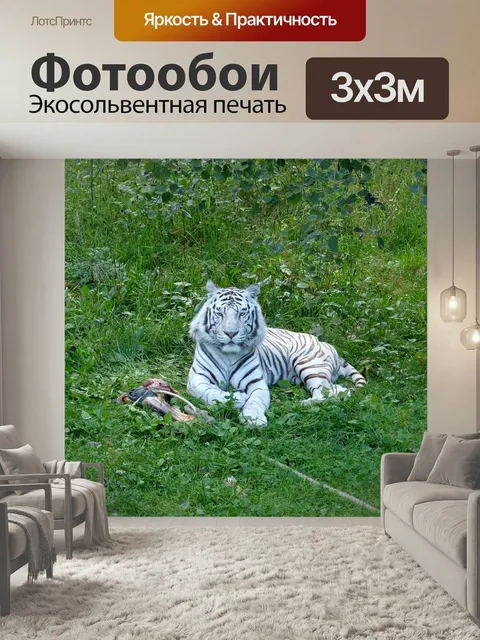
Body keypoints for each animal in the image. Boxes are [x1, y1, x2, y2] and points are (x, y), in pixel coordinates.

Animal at [187, 281, 366, 426]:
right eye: (220, 313)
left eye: (242, 313)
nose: (231, 333)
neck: (229, 355)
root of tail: (326, 344)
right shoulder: (197, 379)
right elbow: (209, 393)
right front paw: (239, 397)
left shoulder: (257, 383)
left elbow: (255, 401)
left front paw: (254, 419)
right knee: (338, 390)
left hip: (309, 364)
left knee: (326, 394)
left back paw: (302, 403)